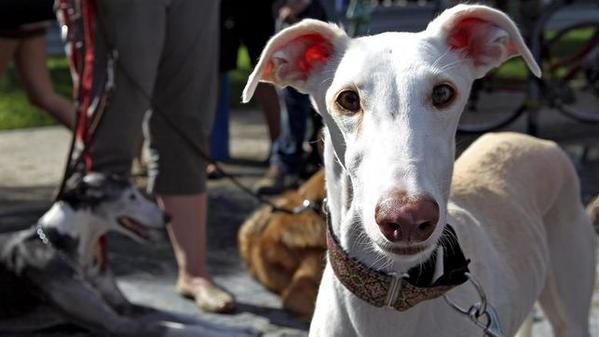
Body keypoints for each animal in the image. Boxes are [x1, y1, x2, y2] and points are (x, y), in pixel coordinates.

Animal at [0, 173, 258, 336]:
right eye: (131, 197)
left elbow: (185, 317)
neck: (62, 244)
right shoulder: (116, 324)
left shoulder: (126, 308)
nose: (168, 217)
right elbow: (177, 327)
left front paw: (240, 329)